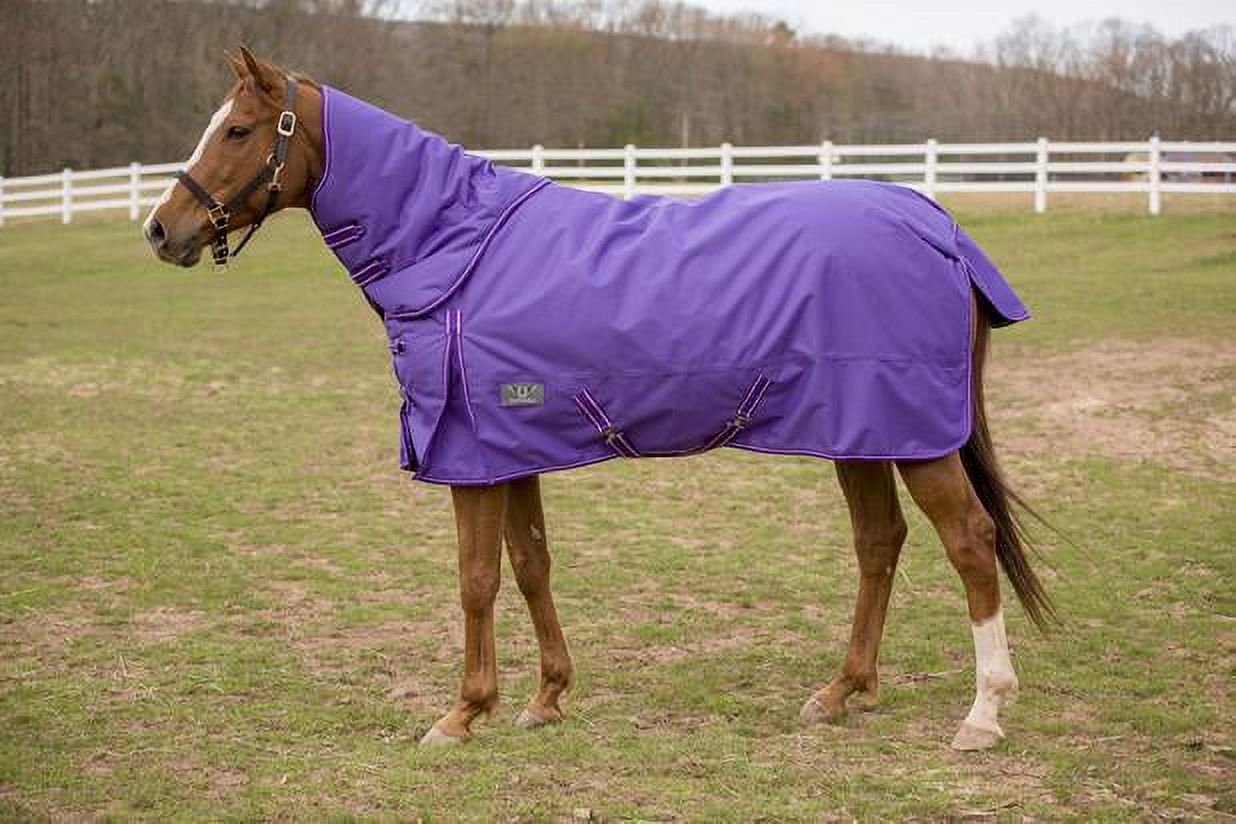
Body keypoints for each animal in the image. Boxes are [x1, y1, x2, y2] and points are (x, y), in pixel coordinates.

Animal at [143, 47, 1053, 751]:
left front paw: (461, 714)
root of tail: (938, 226)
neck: (454, 248)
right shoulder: (508, 448)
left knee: (969, 542)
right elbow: (530, 565)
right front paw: (545, 699)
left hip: (915, 437)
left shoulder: (469, 459)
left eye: (237, 129)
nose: (161, 230)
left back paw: (982, 715)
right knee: (878, 543)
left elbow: (476, 579)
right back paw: (842, 692)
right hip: (863, 433)